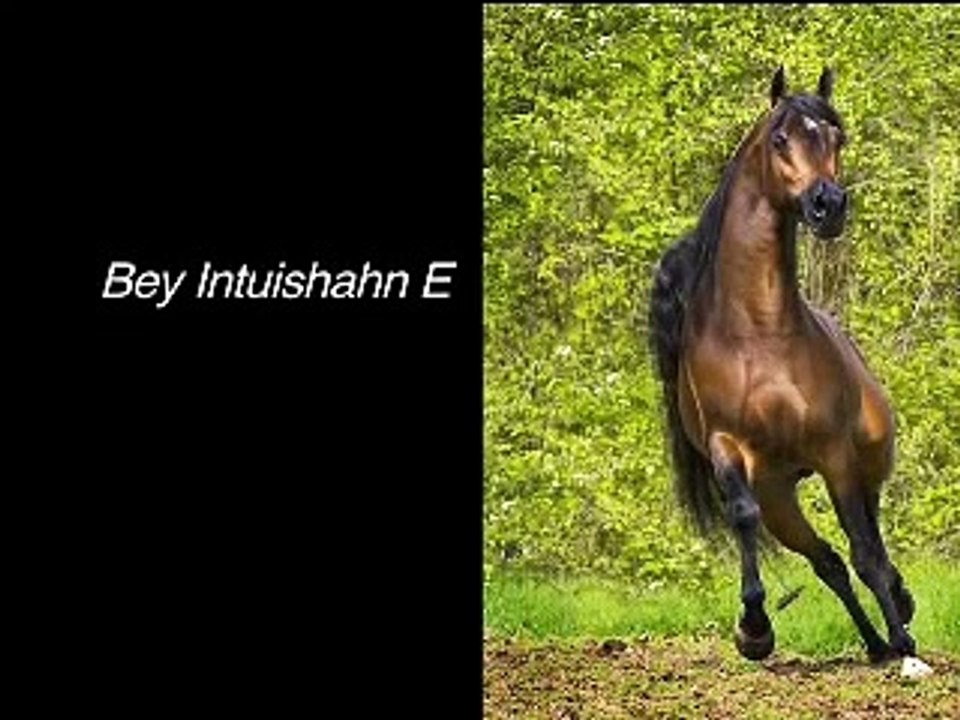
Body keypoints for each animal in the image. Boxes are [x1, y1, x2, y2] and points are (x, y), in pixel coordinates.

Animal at [648, 67, 915, 663]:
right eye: (780, 139)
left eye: (837, 137)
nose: (827, 205)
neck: (760, 332)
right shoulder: (728, 448)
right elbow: (745, 518)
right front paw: (754, 629)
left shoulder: (834, 452)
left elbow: (867, 552)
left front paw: (907, 644)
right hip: (780, 497)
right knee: (827, 561)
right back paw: (874, 644)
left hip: (864, 463)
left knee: (869, 539)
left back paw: (898, 621)